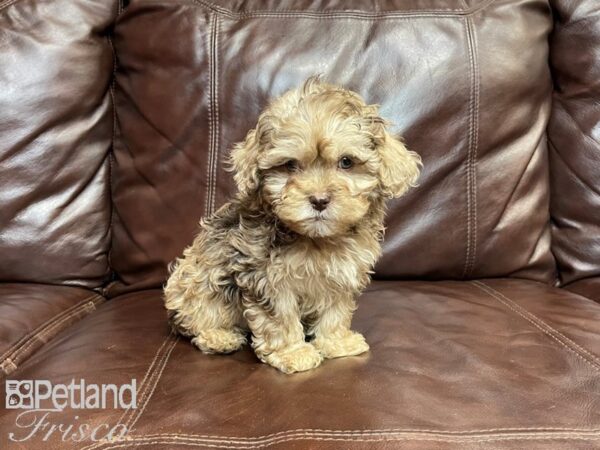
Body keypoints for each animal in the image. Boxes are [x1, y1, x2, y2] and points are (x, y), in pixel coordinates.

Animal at [162, 76, 420, 372]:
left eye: (346, 162)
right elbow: (279, 317)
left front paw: (336, 342)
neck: (318, 240)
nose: (319, 200)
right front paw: (293, 353)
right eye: (289, 165)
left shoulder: (342, 273)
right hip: (193, 283)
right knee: (193, 318)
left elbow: (336, 311)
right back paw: (218, 336)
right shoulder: (266, 277)